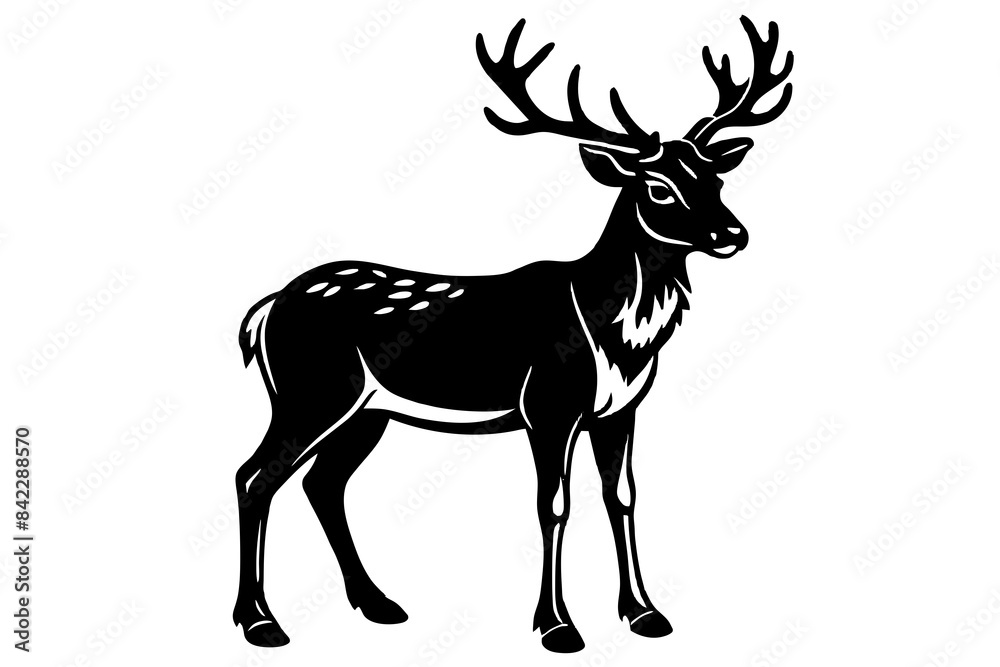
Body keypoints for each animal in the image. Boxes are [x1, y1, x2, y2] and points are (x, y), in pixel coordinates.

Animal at [233, 16, 793, 654]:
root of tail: (264, 311)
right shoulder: (548, 403)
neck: (618, 336)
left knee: (322, 484)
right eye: (657, 187)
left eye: (714, 177)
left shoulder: (621, 409)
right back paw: (261, 622)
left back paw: (377, 603)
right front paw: (557, 626)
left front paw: (645, 613)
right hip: (312, 392)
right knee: (254, 477)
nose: (733, 233)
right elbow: (553, 504)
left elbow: (622, 496)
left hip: (367, 411)